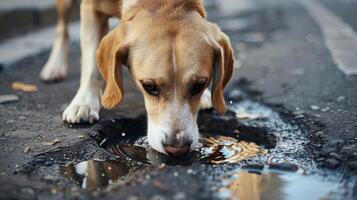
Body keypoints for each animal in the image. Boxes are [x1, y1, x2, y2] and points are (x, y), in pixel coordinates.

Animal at [40, 0, 234, 156]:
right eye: (149, 86)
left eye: (199, 85)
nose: (177, 148)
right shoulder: (90, 9)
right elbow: (91, 65)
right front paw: (84, 103)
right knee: (62, 28)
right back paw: (54, 66)